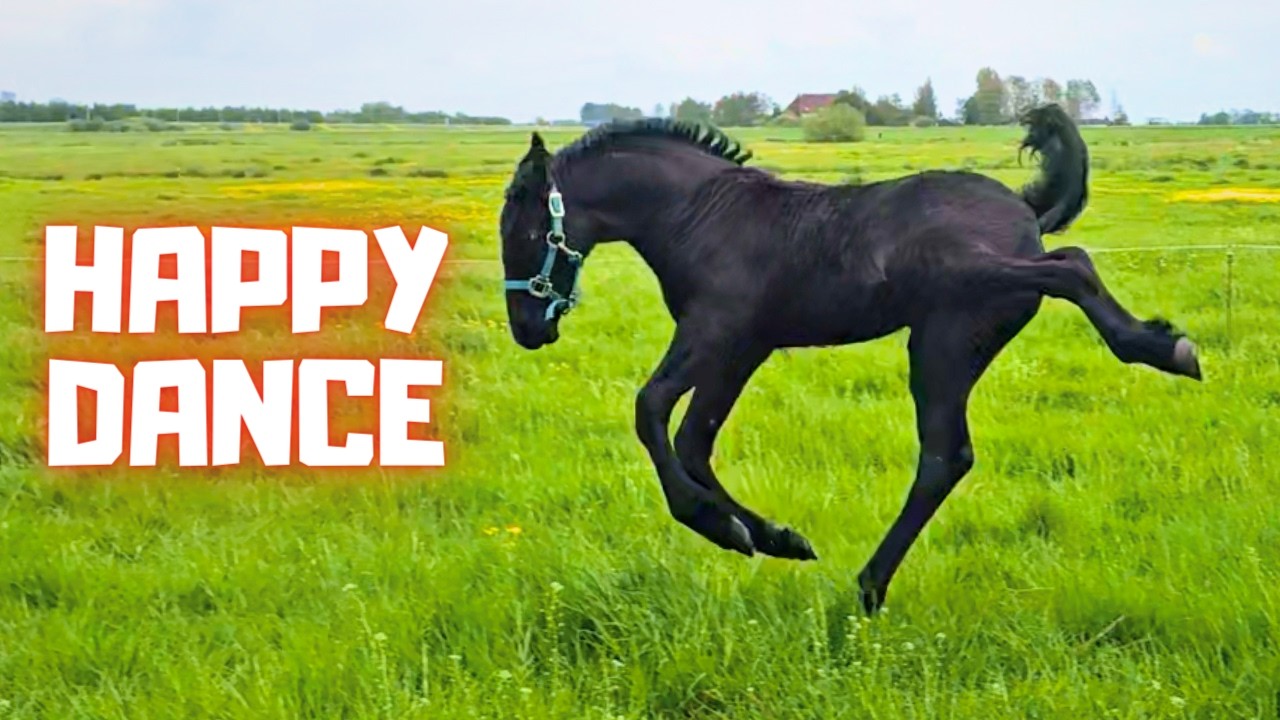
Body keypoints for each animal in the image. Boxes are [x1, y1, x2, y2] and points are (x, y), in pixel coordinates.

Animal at [498, 105, 1201, 614]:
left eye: (525, 232)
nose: (528, 331)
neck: (702, 217)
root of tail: (1024, 210)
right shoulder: (743, 347)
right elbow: (696, 441)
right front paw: (773, 538)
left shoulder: (712, 332)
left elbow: (650, 412)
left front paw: (718, 527)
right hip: (951, 344)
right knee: (948, 454)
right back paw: (869, 586)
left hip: (950, 320)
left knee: (1069, 269)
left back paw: (1163, 346)